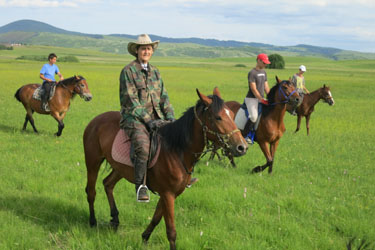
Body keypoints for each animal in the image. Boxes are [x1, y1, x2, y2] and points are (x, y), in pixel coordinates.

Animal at [83, 87, 247, 249]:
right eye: (218, 118)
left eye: (232, 115)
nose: (242, 147)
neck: (177, 150)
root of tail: (96, 120)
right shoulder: (168, 193)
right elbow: (171, 230)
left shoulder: (171, 193)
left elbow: (156, 217)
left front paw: (144, 237)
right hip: (93, 162)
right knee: (91, 191)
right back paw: (92, 221)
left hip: (119, 168)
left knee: (108, 184)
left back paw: (115, 219)